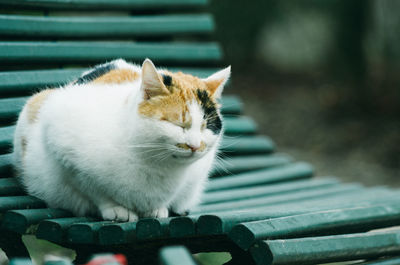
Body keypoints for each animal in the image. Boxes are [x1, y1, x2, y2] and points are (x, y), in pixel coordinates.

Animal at [12, 58, 230, 221]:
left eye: (205, 127)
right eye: (179, 124)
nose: (195, 146)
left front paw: (157, 209)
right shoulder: (63, 146)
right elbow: (92, 188)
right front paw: (116, 209)